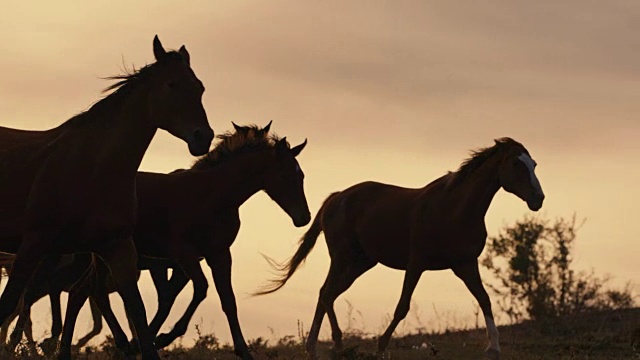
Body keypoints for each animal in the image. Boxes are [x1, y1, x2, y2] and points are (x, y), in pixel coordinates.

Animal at [0, 34, 215, 360]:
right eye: (171, 85)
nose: (203, 137)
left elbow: (139, 317)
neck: (93, 167)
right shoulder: (33, 246)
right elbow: (9, 303)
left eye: (200, 87)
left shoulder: (118, 249)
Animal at [56, 122, 312, 358]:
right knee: (93, 291)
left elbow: (227, 301)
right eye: (284, 175)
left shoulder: (219, 254)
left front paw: (244, 351)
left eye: (302, 175)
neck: (213, 196)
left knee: (82, 291)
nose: (304, 217)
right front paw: (160, 338)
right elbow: (199, 289)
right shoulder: (183, 255)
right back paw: (121, 344)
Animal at [255, 138, 544, 360]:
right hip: (342, 257)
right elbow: (402, 307)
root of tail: (336, 198)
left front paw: (493, 348)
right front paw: (381, 347)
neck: (454, 210)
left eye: (534, 164)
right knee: (326, 293)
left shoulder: (465, 264)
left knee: (329, 294)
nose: (538, 199)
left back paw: (325, 346)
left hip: (360, 263)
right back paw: (325, 346)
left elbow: (484, 299)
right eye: (516, 163)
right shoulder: (416, 264)